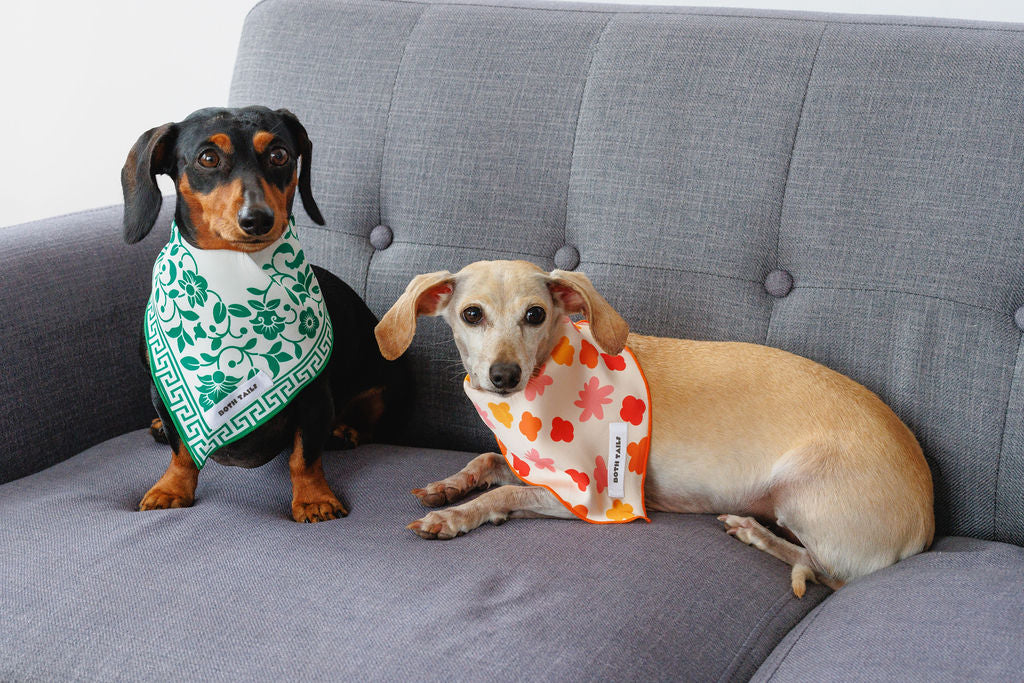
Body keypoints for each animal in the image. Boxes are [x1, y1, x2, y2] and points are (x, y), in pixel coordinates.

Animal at [376, 259, 937, 593]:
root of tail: (926, 527)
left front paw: (457, 516)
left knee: (822, 568)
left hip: (799, 490)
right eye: (471, 315)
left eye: (535, 315)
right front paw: (449, 486)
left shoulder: (585, 498)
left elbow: (504, 493)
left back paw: (754, 533)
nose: (503, 377)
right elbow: (489, 459)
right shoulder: (525, 462)